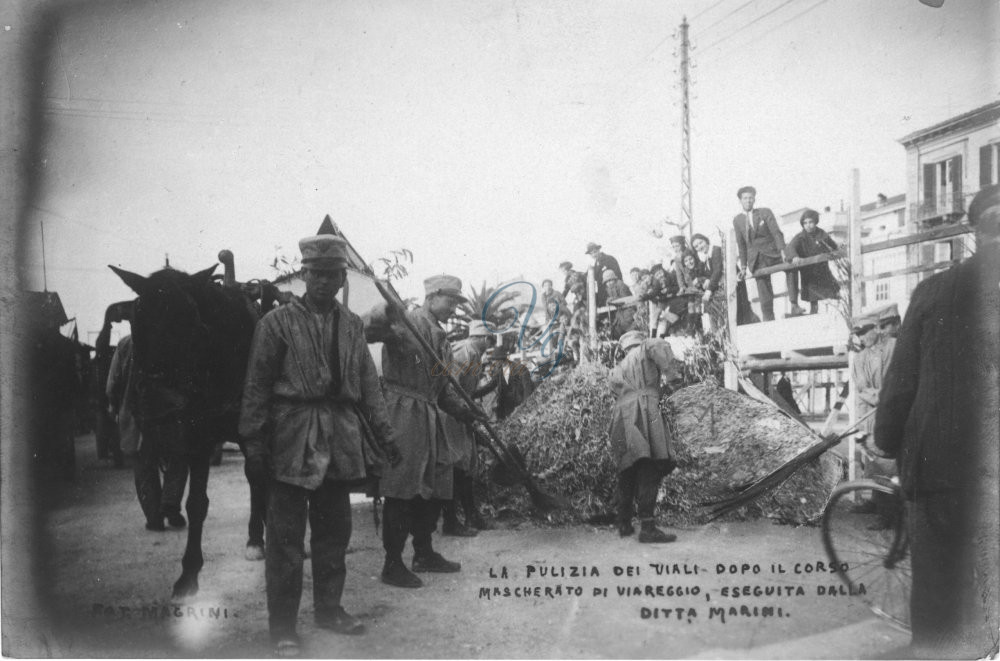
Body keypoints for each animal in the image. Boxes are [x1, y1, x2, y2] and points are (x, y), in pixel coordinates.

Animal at [111, 260, 260, 596]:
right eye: (137, 318)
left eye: (193, 323)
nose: (160, 402)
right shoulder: (196, 436)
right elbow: (196, 503)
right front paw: (189, 572)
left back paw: (258, 538)